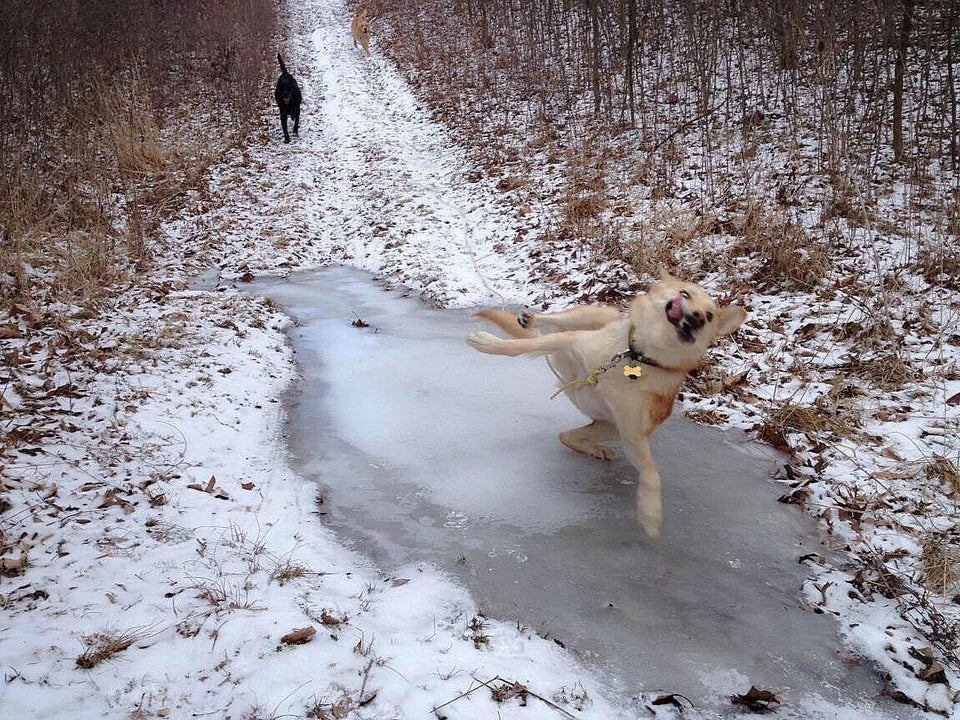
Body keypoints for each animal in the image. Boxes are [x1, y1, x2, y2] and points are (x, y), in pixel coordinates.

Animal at [468, 272, 748, 536]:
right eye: (685, 294)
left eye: (710, 316)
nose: (698, 316)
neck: (635, 356)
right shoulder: (571, 341)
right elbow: (522, 345)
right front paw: (491, 344)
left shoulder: (632, 434)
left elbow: (652, 475)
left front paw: (650, 513)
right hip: (586, 317)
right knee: (557, 320)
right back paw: (531, 318)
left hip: (609, 427)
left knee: (566, 435)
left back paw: (596, 449)